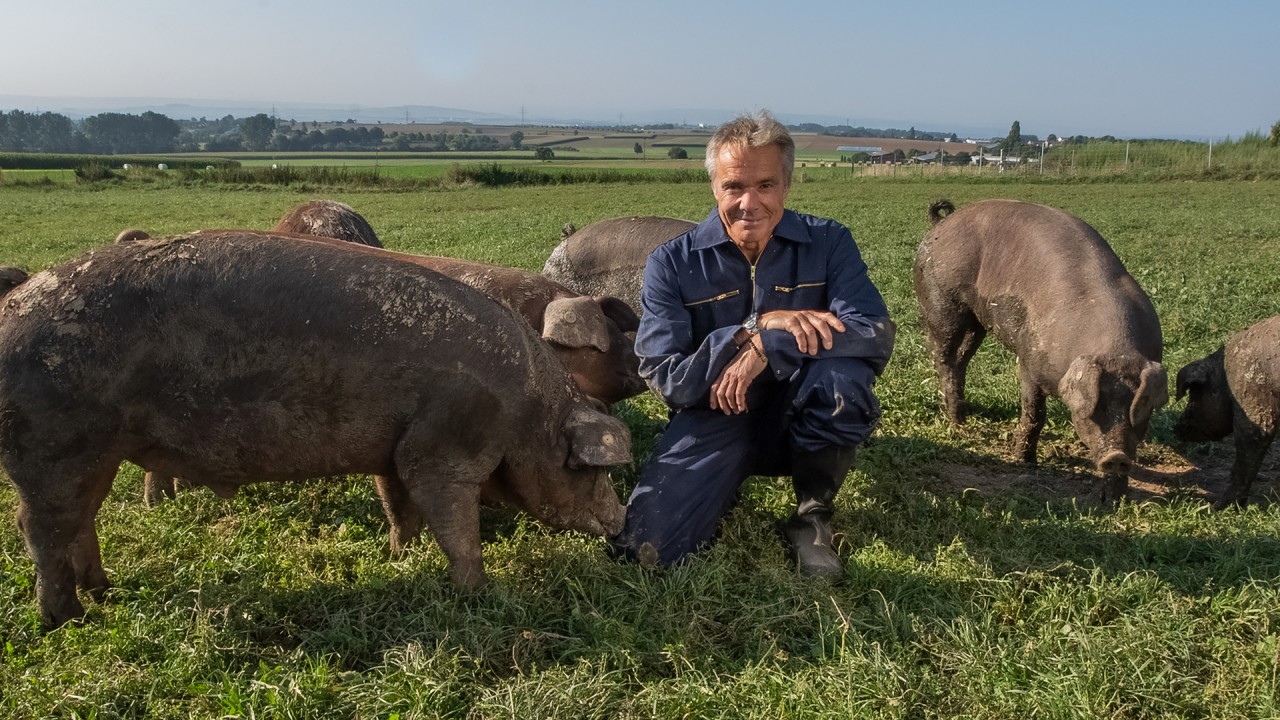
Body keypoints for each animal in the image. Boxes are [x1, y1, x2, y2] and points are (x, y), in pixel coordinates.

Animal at [0, 229, 629, 622]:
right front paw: (479, 592)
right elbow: (457, 526)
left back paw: (102, 589)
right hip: (55, 446)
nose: (621, 519)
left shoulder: (393, 446)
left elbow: (398, 506)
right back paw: (68, 619)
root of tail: (9, 313)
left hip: (95, 455)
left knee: (80, 520)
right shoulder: (442, 448)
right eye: (584, 468)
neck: (525, 410)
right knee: (39, 526)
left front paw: (400, 559)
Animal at [911, 196, 1172, 499]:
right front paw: (1023, 460)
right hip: (942, 302)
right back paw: (956, 420)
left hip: (978, 320)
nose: (1116, 456)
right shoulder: (1029, 361)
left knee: (961, 359)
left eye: (1139, 407)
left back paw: (964, 413)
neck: (1115, 348)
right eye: (1097, 407)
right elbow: (1034, 413)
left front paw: (1113, 499)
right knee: (942, 355)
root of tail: (941, 223)